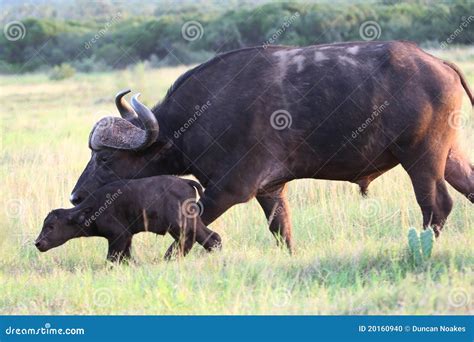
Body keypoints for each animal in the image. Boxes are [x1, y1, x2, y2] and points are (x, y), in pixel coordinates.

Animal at [71, 40, 474, 254]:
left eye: (104, 157)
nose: (76, 195)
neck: (198, 117)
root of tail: (438, 62)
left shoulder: (229, 191)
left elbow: (186, 235)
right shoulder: (271, 190)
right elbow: (282, 231)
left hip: (422, 158)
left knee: (437, 205)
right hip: (451, 157)